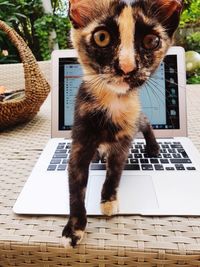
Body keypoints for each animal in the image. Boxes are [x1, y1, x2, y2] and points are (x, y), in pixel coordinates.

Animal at [62, 0, 183, 249]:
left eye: (151, 41)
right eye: (102, 37)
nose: (127, 67)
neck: (113, 102)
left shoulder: (124, 140)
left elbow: (114, 173)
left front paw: (108, 200)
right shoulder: (80, 138)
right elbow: (75, 186)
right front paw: (75, 228)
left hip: (136, 118)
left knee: (145, 121)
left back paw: (153, 147)